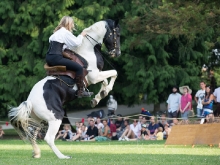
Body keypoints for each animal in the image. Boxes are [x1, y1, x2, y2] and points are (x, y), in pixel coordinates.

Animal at [8, 19, 120, 159]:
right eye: (117, 34)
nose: (117, 53)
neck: (87, 49)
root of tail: (30, 101)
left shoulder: (94, 77)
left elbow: (105, 80)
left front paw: (98, 97)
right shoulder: (94, 76)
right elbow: (114, 73)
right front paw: (103, 92)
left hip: (38, 120)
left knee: (32, 136)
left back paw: (37, 154)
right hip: (56, 117)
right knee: (48, 138)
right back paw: (63, 156)